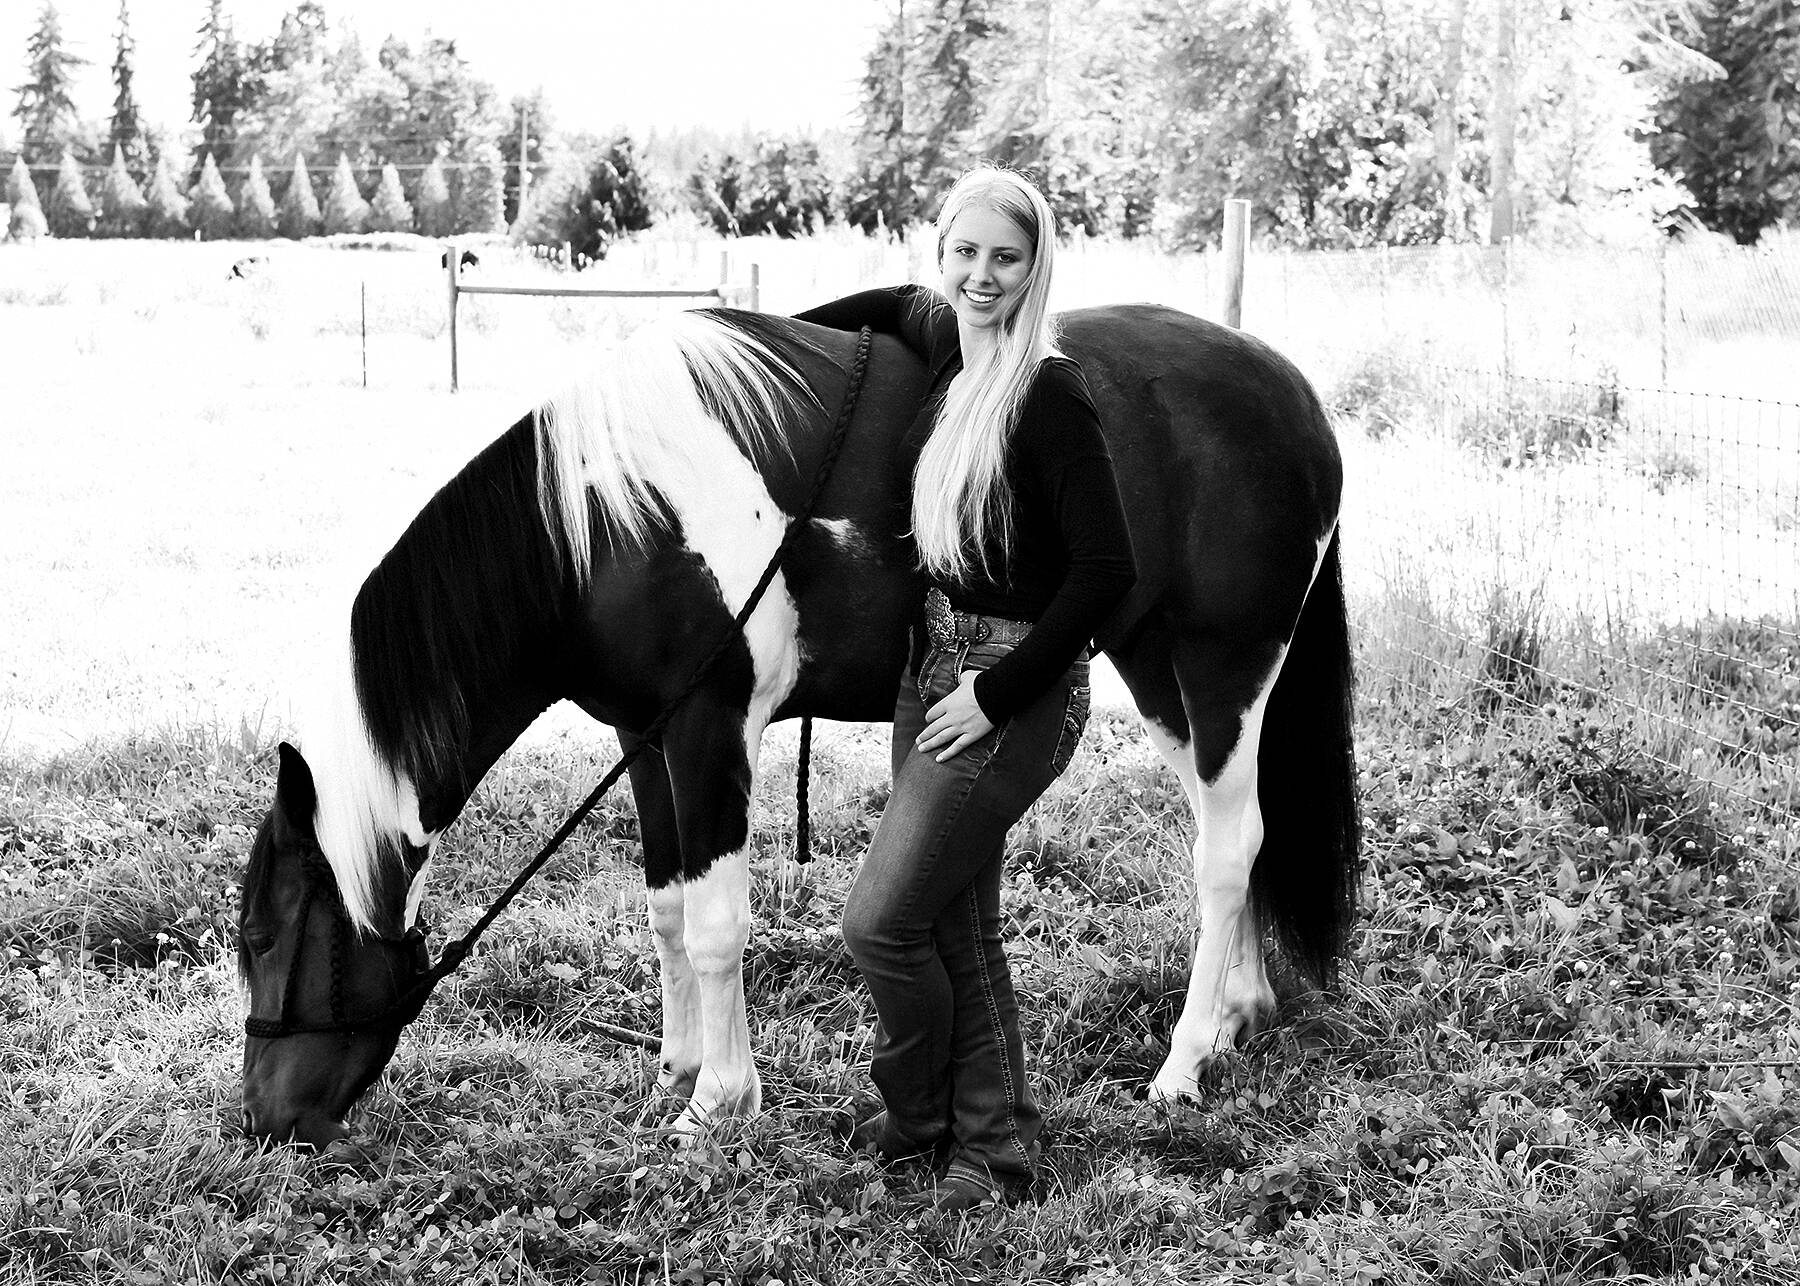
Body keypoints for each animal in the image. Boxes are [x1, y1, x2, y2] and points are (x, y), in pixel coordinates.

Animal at [235, 300, 1353, 1145]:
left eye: (265, 936)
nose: (265, 1119)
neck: (605, 519)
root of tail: (1288, 389)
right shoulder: (646, 736)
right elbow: (667, 907)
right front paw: (675, 1069)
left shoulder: (713, 728)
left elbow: (718, 923)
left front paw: (720, 1102)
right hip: (1157, 669)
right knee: (1237, 838)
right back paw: (1239, 1017)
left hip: (1224, 666)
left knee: (1227, 852)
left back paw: (1184, 1063)